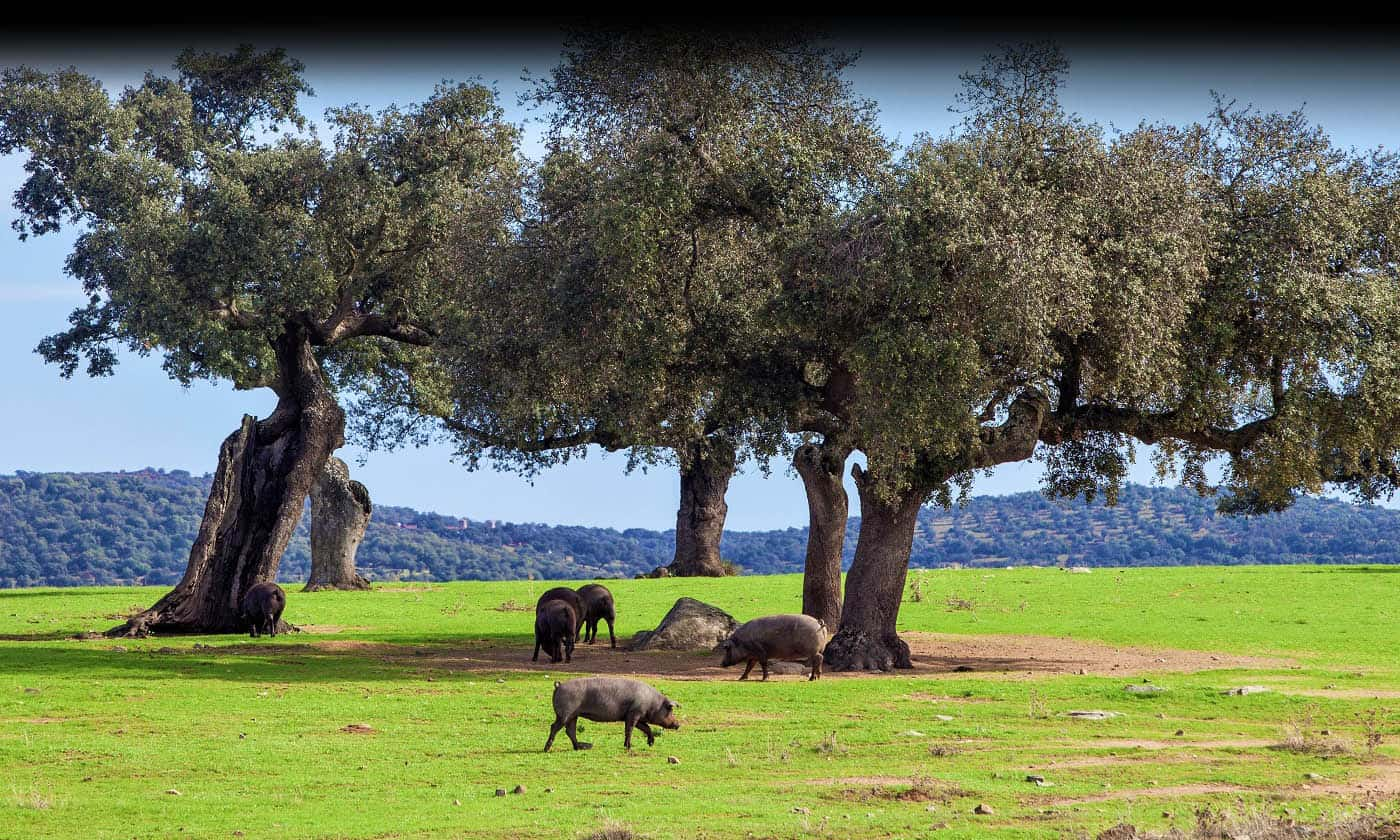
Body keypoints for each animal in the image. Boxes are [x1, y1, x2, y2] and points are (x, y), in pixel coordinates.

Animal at [543, 674, 680, 756]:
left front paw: (651, 744)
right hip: (565, 713)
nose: (678, 724)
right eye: (670, 710)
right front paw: (629, 747)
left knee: (570, 731)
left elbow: (646, 728)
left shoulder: (634, 716)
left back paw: (580, 747)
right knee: (554, 727)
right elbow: (629, 730)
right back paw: (547, 749)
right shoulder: (634, 713)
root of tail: (559, 685)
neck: (652, 703)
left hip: (573, 715)